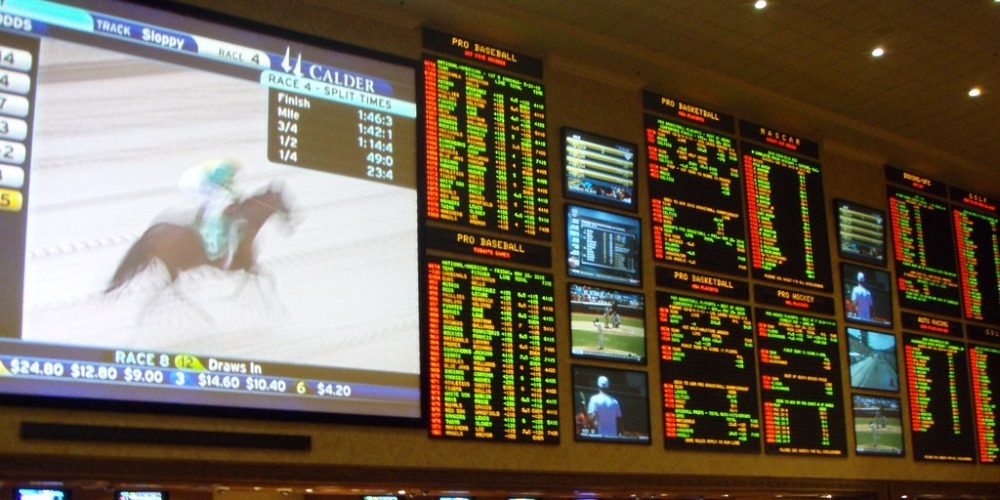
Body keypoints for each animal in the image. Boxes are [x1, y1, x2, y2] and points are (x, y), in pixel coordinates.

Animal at [104, 182, 293, 297]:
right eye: (286, 200)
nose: (294, 219)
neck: (247, 222)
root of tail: (151, 231)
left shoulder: (246, 266)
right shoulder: (246, 265)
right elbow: (267, 280)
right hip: (172, 266)